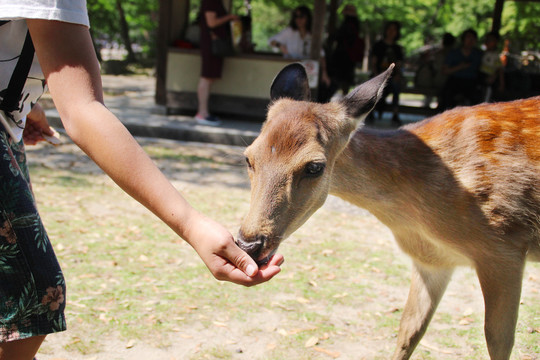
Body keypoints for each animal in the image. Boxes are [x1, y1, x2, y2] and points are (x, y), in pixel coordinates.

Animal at [236, 64, 540, 360]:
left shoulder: (504, 248)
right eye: (248, 157)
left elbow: (498, 341)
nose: (248, 243)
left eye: (314, 166)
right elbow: (409, 330)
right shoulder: (433, 260)